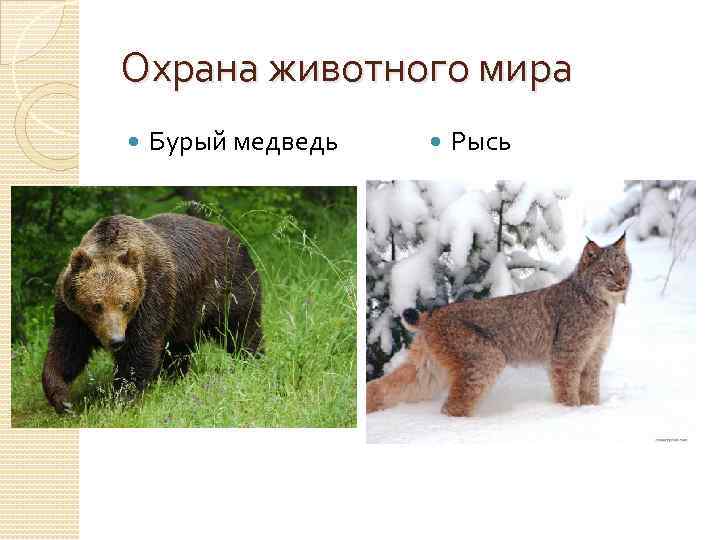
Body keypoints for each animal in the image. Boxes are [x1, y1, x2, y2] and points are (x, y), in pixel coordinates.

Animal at [41, 213, 263, 413]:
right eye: (97, 305)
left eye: (125, 304)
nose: (116, 340)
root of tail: (238, 240)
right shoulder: (72, 313)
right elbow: (67, 349)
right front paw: (62, 399)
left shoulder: (152, 295)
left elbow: (140, 348)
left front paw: (122, 398)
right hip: (186, 313)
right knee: (180, 347)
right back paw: (175, 376)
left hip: (229, 287)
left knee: (242, 328)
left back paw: (250, 359)